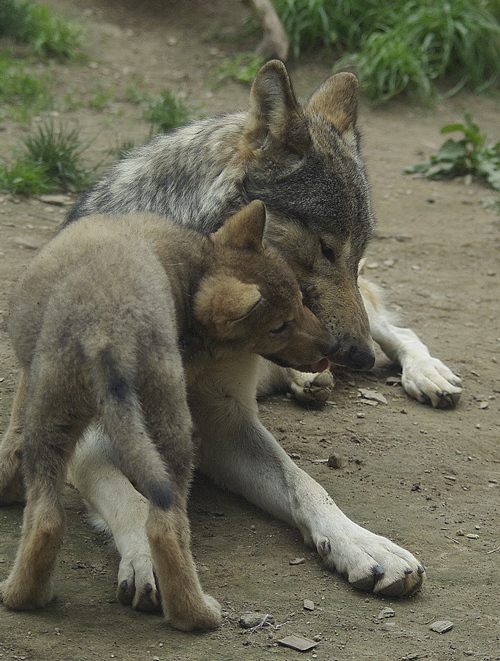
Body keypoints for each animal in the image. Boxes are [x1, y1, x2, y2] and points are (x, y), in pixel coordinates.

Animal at [16, 62, 460, 608]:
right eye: (325, 247)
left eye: (356, 252)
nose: (357, 357)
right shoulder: (90, 439)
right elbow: (134, 501)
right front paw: (154, 562)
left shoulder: (227, 424)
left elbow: (307, 484)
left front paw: (363, 544)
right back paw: (314, 381)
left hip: (366, 320)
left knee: (398, 329)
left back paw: (425, 375)